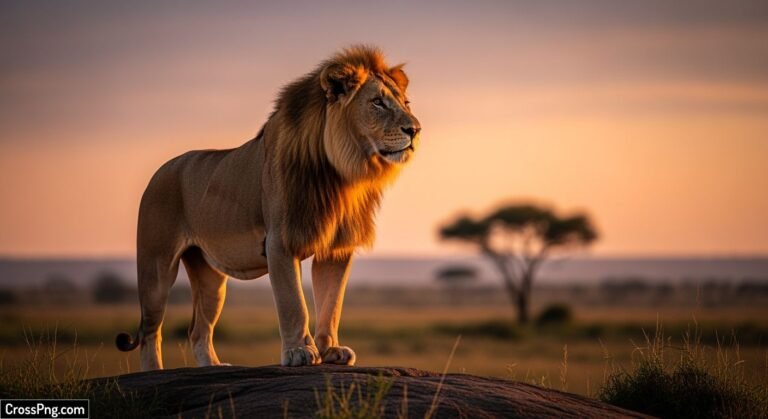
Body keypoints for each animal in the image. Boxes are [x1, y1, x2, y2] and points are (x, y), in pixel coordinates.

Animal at [115, 45, 420, 370]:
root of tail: (161, 171)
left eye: (405, 103)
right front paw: (299, 352)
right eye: (377, 102)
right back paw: (153, 373)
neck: (342, 174)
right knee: (151, 329)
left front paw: (330, 350)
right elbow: (293, 303)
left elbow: (331, 303)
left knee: (198, 329)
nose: (415, 129)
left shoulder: (336, 249)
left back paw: (215, 367)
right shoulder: (280, 241)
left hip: (209, 275)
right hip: (156, 264)